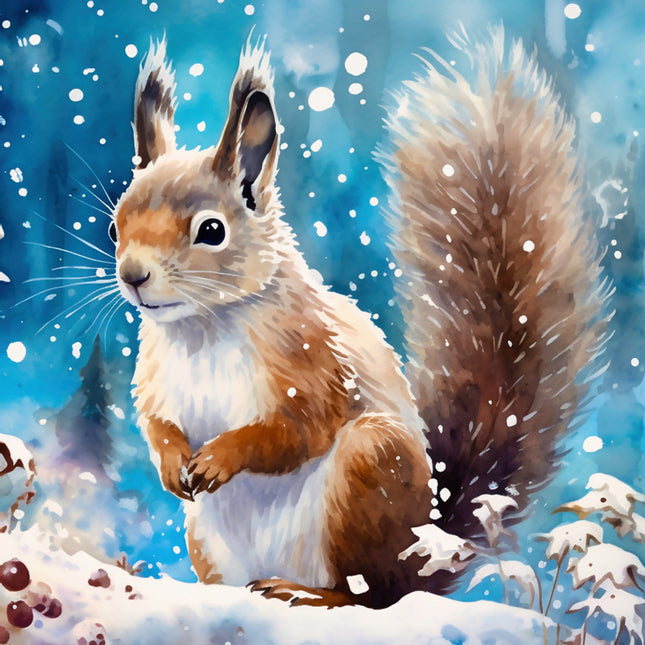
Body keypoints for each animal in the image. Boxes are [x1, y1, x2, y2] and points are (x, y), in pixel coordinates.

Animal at [110, 31, 607, 609]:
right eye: (116, 223)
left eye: (211, 231)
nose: (133, 276)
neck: (204, 326)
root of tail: (429, 554)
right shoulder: (156, 378)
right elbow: (156, 424)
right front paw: (172, 460)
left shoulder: (312, 362)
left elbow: (297, 430)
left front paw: (220, 457)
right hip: (206, 535)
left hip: (368, 469)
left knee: (372, 594)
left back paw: (307, 594)